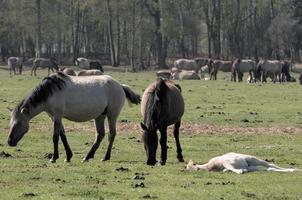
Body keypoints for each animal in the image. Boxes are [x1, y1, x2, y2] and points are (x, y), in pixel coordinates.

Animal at [7, 72, 141, 162]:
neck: (50, 91)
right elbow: (63, 136)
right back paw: (88, 156)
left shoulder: (57, 116)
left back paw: (105, 157)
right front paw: (68, 156)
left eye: (18, 123)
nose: (9, 141)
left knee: (111, 134)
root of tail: (120, 86)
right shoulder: (54, 117)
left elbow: (55, 137)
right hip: (99, 116)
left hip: (111, 115)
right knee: (100, 135)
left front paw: (54, 158)